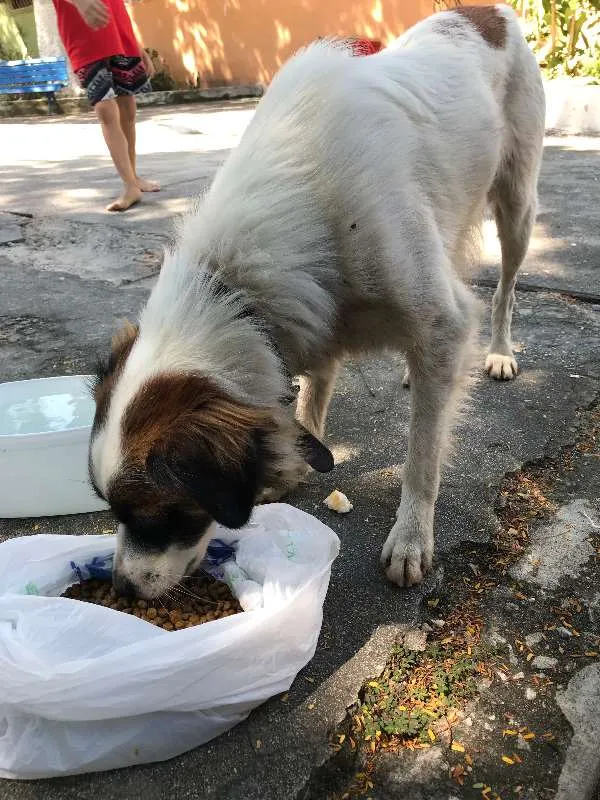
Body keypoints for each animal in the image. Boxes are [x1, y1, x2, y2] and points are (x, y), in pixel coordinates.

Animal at [88, 4, 544, 592]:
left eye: (158, 514)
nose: (121, 589)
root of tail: (489, 12)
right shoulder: (318, 307)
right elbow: (315, 388)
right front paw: (298, 457)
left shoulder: (438, 318)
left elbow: (422, 453)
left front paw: (411, 536)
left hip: (517, 205)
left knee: (504, 289)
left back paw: (500, 353)